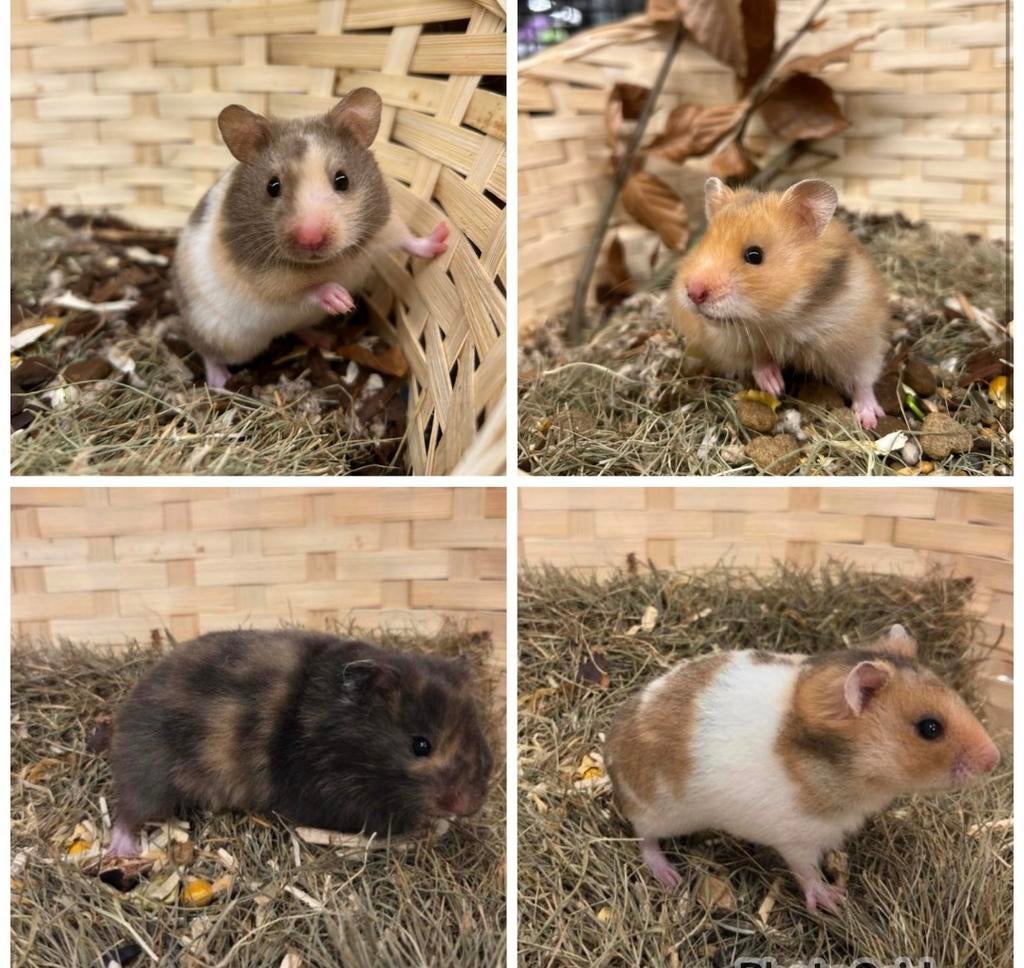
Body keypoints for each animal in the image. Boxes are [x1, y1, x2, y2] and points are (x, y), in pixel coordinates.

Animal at [104, 630, 493, 857]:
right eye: (420, 745)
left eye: (479, 734)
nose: (472, 805)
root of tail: (124, 716)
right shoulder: (337, 800)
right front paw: (431, 826)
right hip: (153, 773)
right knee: (128, 810)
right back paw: (121, 853)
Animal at [171, 88, 449, 388]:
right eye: (272, 187)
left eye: (342, 180)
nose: (311, 239)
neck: (330, 260)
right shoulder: (268, 282)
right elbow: (306, 289)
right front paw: (342, 300)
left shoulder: (383, 227)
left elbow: (407, 239)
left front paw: (444, 237)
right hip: (222, 336)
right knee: (208, 353)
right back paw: (220, 382)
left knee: (299, 328)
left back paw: (323, 339)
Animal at [605, 624, 999, 913]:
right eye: (929, 728)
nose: (995, 759)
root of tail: (612, 754)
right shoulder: (796, 839)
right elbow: (807, 873)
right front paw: (834, 900)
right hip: (658, 811)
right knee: (644, 839)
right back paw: (668, 877)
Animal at [671, 177, 889, 429]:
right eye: (702, 245)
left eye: (754, 255)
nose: (693, 292)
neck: (780, 319)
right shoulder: (734, 342)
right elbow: (758, 359)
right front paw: (775, 386)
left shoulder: (858, 340)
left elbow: (863, 378)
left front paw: (870, 419)